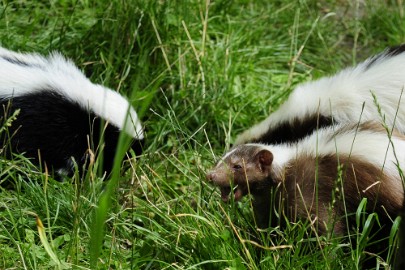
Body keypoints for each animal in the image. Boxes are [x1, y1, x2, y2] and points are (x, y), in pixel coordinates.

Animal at [208, 122, 404, 234]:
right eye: (221, 160)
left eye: (237, 166)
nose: (210, 175)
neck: (283, 168)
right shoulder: (268, 201)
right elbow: (267, 224)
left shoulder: (309, 189)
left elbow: (324, 226)